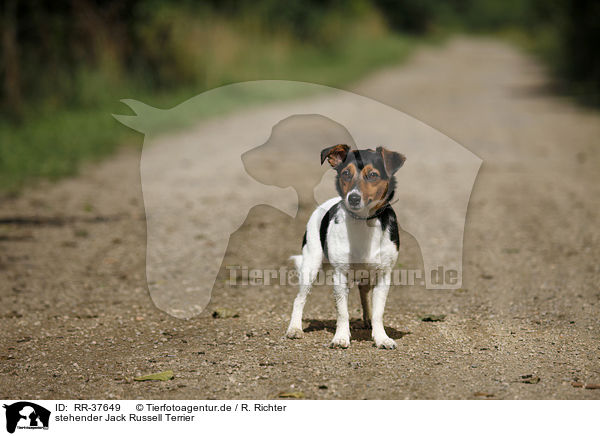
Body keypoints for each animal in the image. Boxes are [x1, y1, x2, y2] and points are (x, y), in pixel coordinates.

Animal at [288, 145, 408, 350]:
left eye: (373, 175)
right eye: (345, 173)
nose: (353, 198)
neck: (364, 221)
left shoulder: (383, 275)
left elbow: (379, 312)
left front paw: (381, 338)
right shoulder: (340, 275)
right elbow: (342, 312)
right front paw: (341, 338)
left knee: (364, 293)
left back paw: (367, 320)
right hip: (311, 265)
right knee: (299, 299)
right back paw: (295, 328)